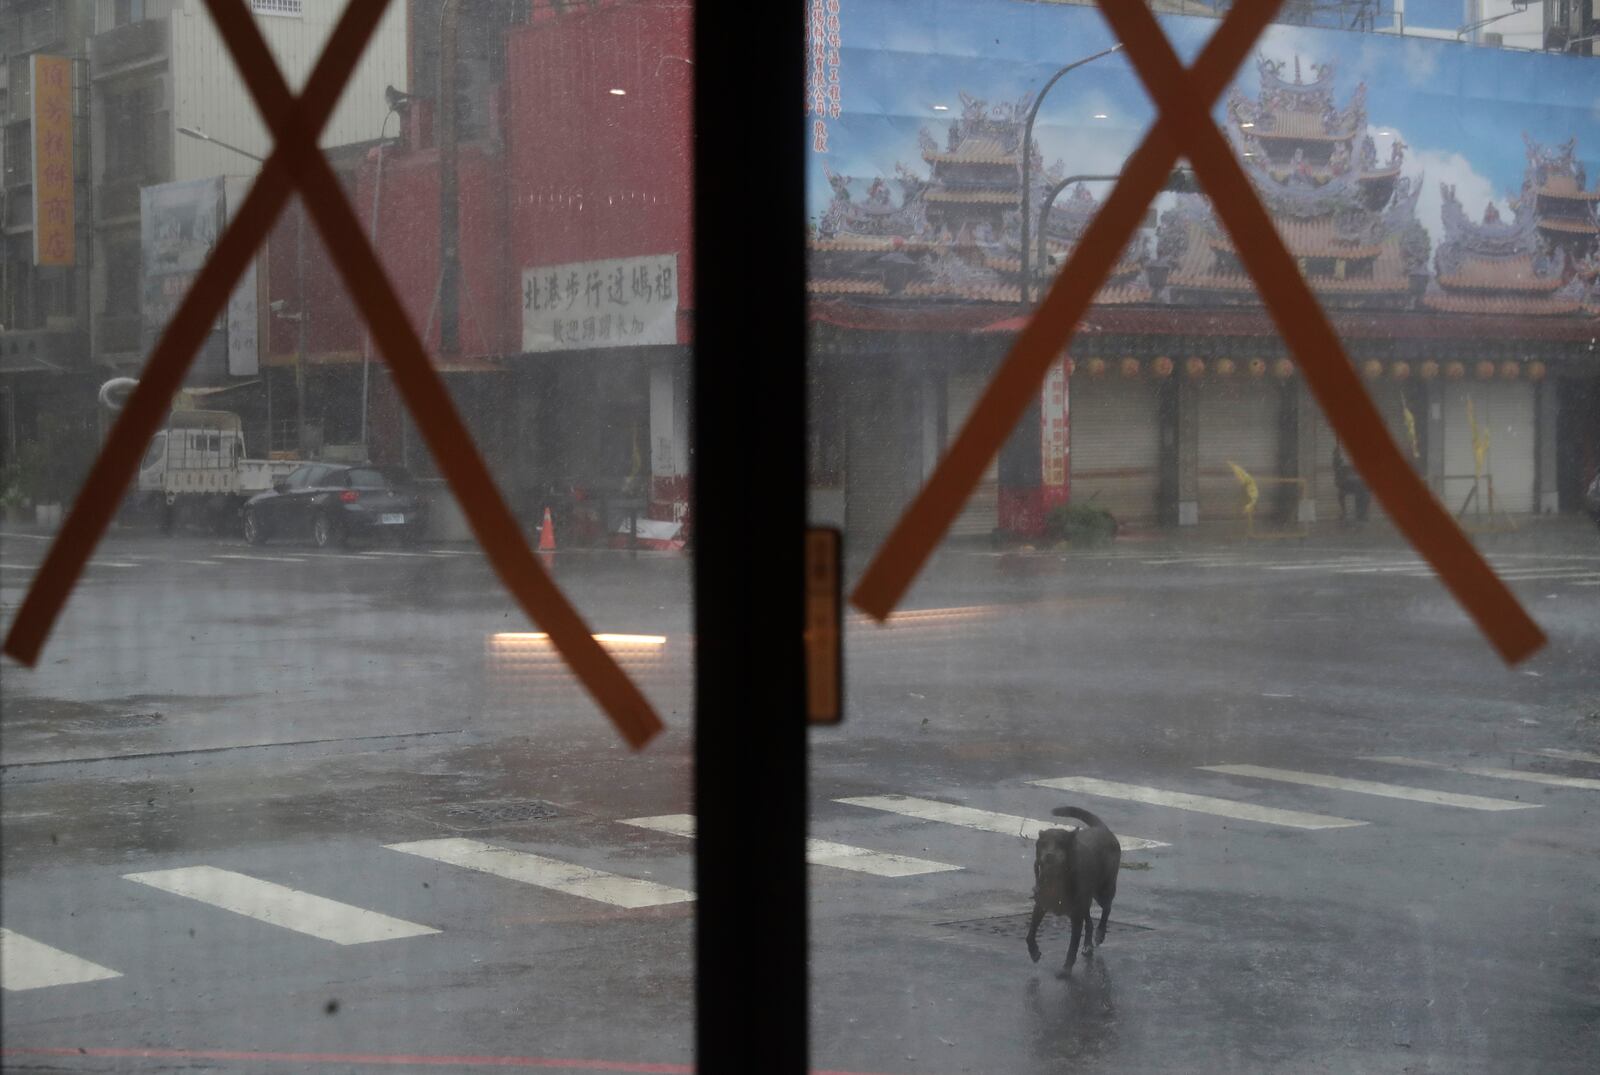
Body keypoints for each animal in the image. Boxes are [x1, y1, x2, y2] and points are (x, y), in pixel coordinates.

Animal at [1024, 806, 1126, 972]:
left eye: (1061, 843)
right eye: (1043, 844)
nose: (1049, 855)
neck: (1056, 878)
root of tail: (1101, 828)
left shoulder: (1076, 916)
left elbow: (1073, 945)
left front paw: (1066, 968)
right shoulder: (1040, 905)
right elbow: (1030, 933)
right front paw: (1034, 952)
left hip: (1102, 890)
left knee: (1107, 908)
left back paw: (1100, 933)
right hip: (1086, 901)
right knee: (1089, 922)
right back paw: (1088, 946)